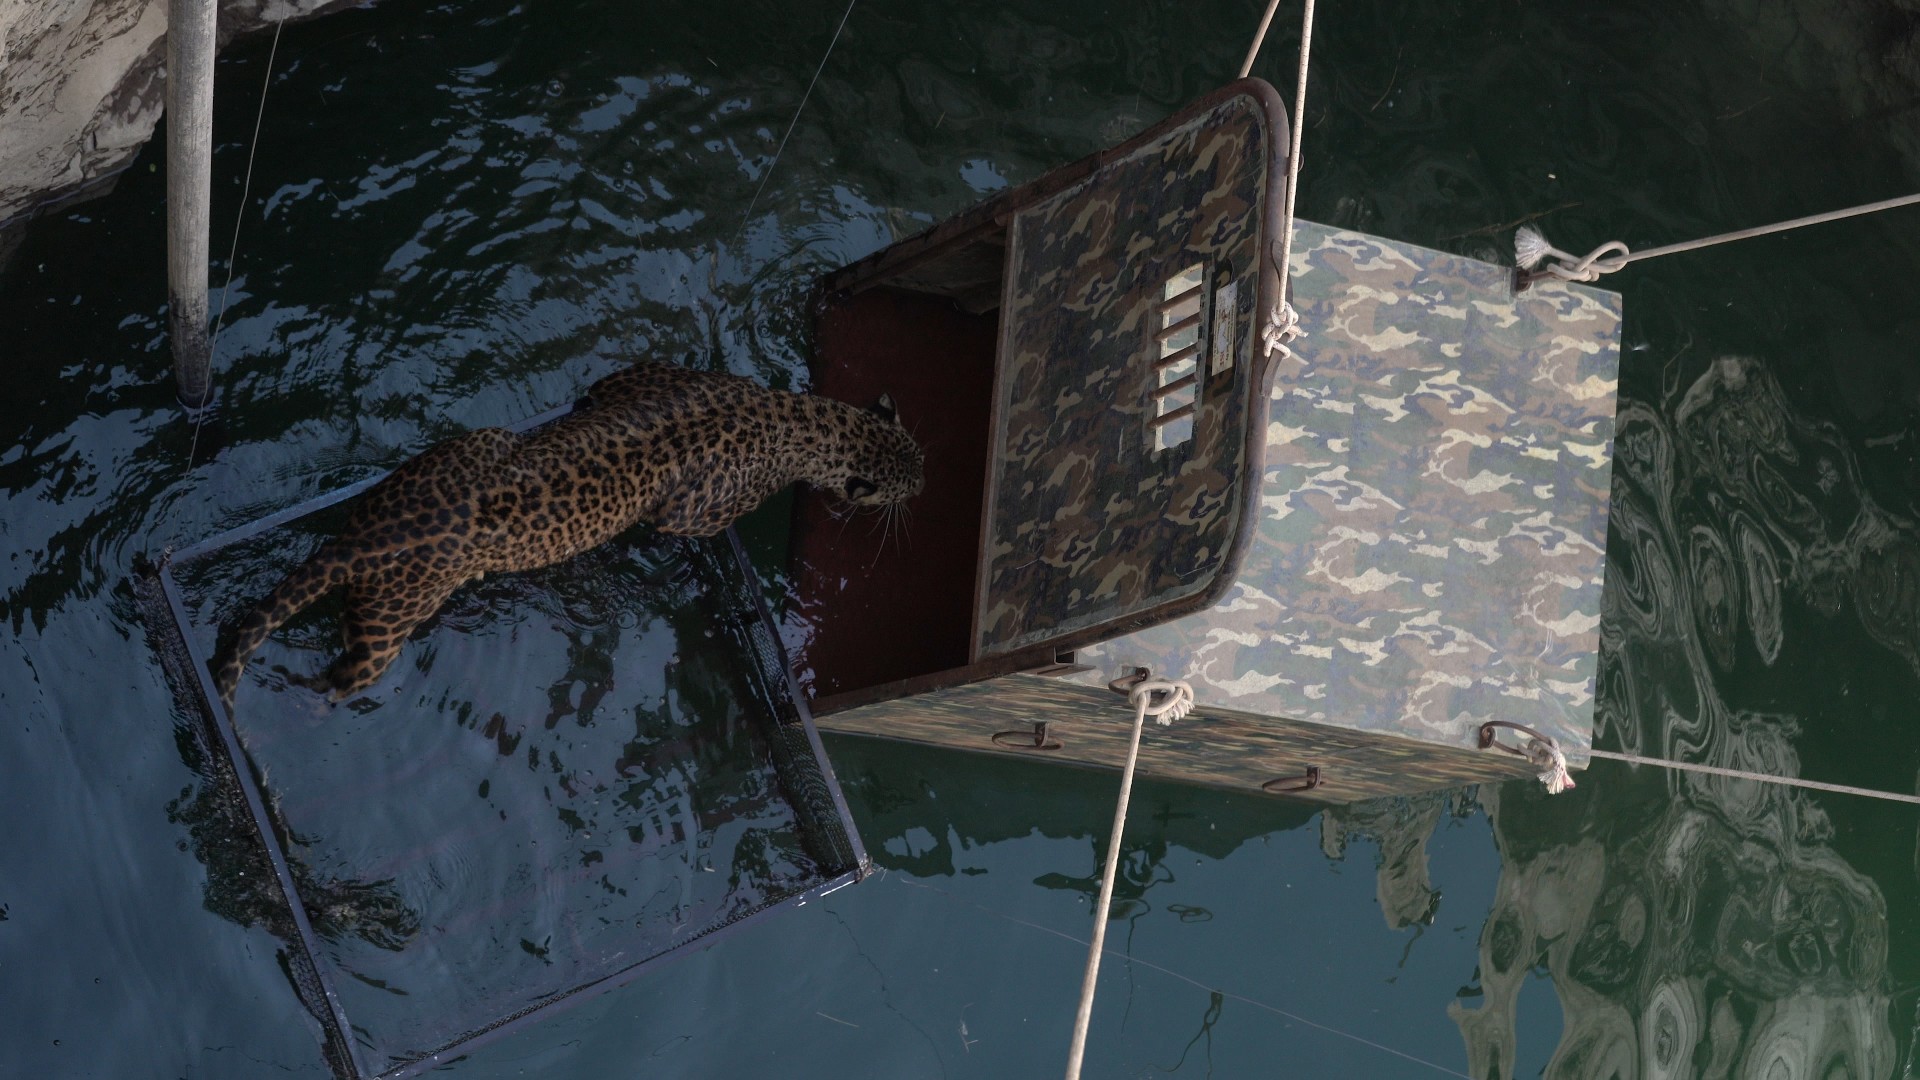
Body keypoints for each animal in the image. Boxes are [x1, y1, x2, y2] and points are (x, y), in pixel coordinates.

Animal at [212, 362, 923, 709]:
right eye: (909, 481)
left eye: (916, 455)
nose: (926, 481)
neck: (797, 419)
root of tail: (367, 537)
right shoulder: (699, 511)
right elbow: (686, 523)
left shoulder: (632, 380)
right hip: (387, 628)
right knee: (341, 674)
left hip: (465, 447)